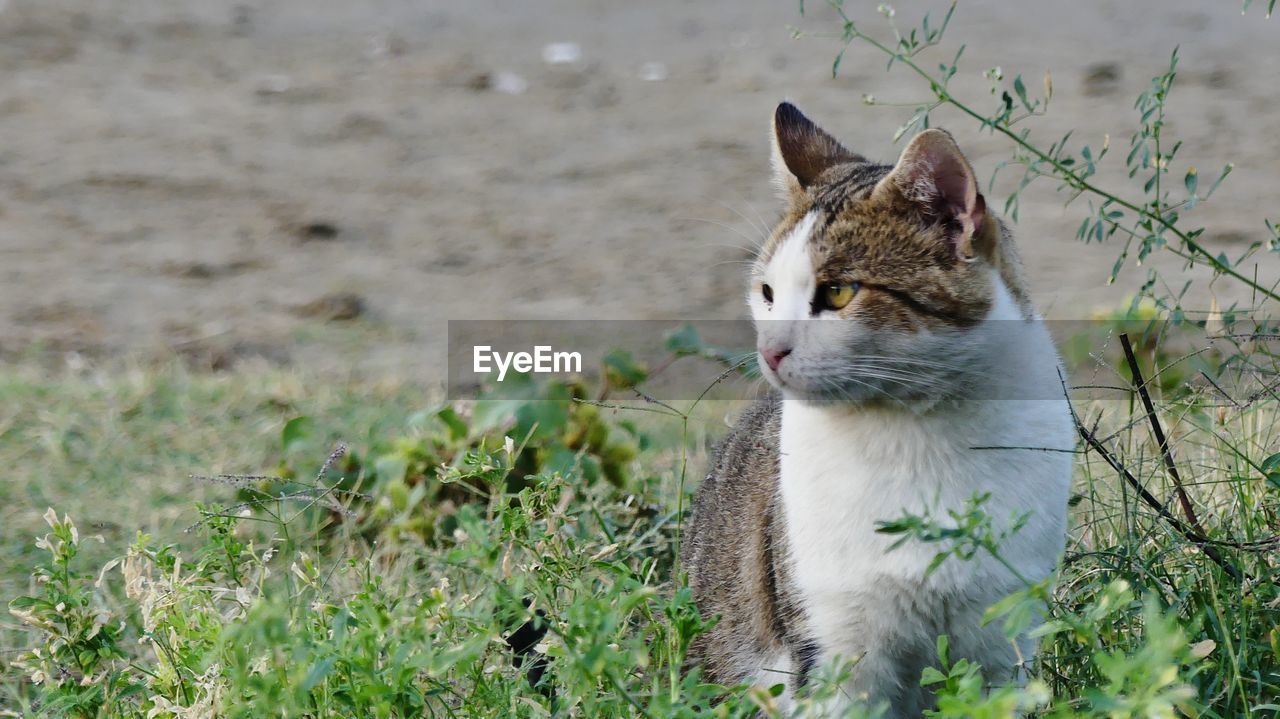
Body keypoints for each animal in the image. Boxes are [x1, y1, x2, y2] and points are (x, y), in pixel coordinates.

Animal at [686, 103, 1075, 711]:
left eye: (839, 292)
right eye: (767, 293)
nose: (769, 350)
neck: (915, 431)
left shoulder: (1001, 640)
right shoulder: (834, 650)